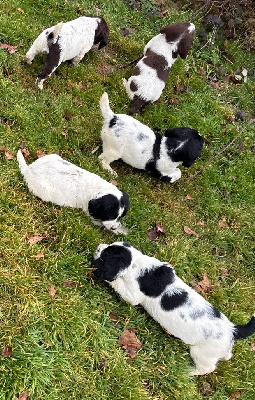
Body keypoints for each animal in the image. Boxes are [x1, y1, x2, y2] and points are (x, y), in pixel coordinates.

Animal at [93, 241, 255, 376]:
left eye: (105, 254)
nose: (98, 246)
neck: (137, 263)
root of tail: (233, 330)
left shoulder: (133, 295)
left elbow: (119, 284)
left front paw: (109, 279)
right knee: (227, 355)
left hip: (202, 353)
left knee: (207, 368)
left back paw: (189, 372)